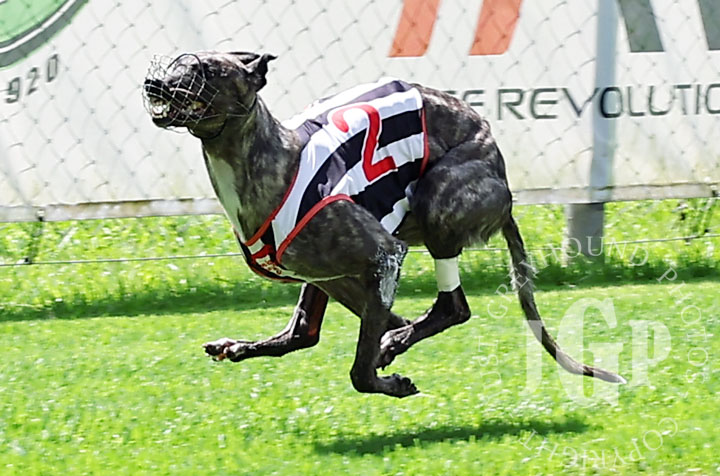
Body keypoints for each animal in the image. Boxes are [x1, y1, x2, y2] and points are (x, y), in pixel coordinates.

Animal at [143, 51, 626, 397]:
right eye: (176, 63)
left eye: (206, 69)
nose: (153, 83)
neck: (278, 157)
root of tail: (503, 183)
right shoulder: (336, 275)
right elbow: (340, 328)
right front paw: (393, 342)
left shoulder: (383, 255)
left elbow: (362, 366)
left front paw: (389, 373)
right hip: (343, 266)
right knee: (304, 332)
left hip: (438, 201)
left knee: (453, 307)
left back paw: (398, 343)